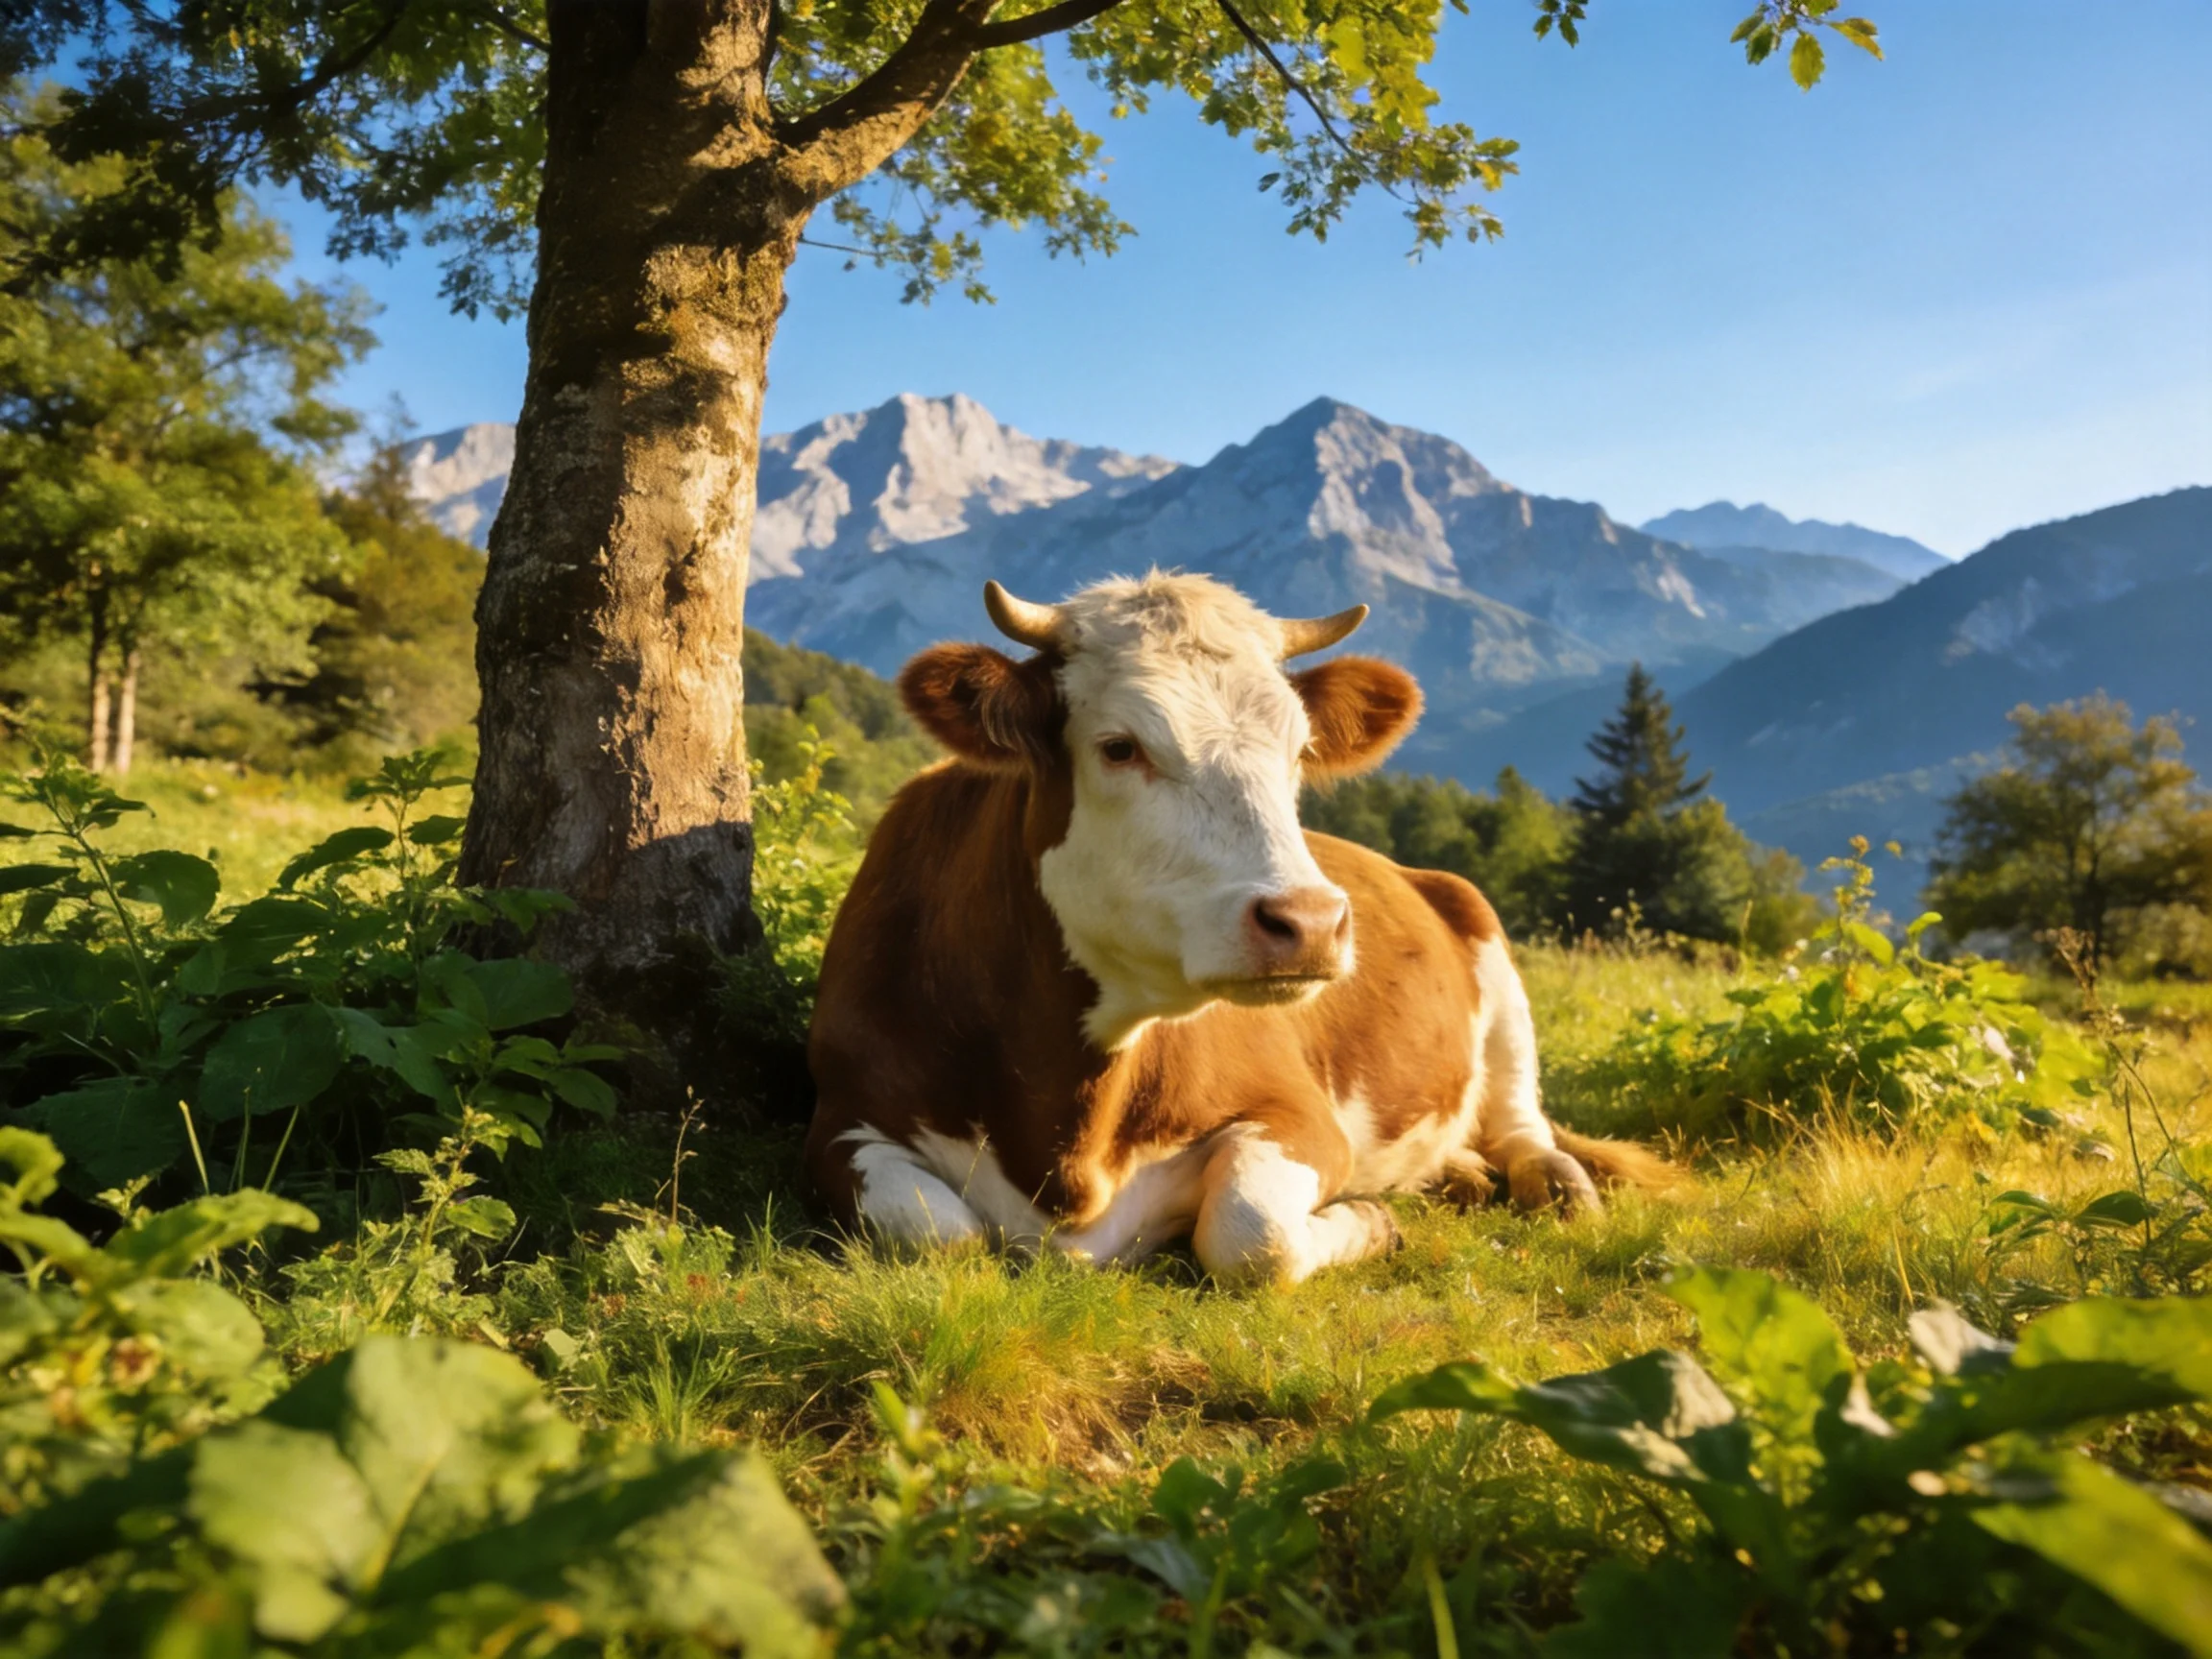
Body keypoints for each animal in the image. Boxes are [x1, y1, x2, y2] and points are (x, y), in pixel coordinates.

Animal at [802, 571, 1669, 1284]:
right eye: (1120, 747)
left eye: (1299, 750)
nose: (1310, 922)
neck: (1066, 1134)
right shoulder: (842, 1116)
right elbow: (938, 1233)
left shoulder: (1302, 1120)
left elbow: (1250, 1232)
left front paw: (1371, 1222)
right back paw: (1456, 1174)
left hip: (1492, 956)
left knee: (1521, 1120)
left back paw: (1548, 1182)